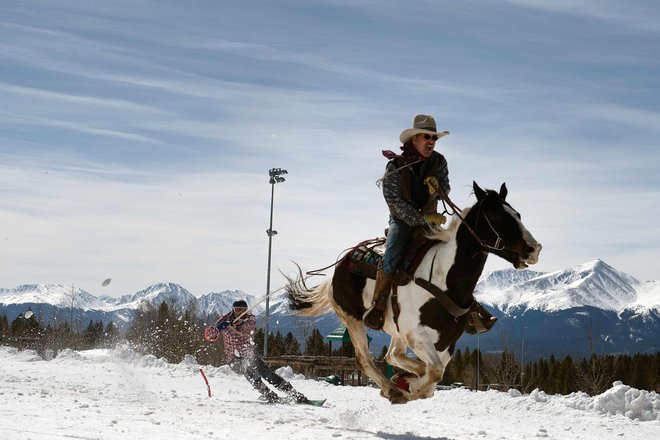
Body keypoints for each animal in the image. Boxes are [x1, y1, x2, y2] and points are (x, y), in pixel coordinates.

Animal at [288, 181, 540, 402]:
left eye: (518, 214)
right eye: (497, 217)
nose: (534, 249)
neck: (444, 278)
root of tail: (338, 268)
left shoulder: (447, 341)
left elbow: (434, 375)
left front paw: (410, 383)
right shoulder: (416, 334)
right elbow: (435, 371)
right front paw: (408, 387)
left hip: (395, 328)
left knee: (393, 355)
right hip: (354, 320)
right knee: (365, 360)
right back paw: (391, 389)